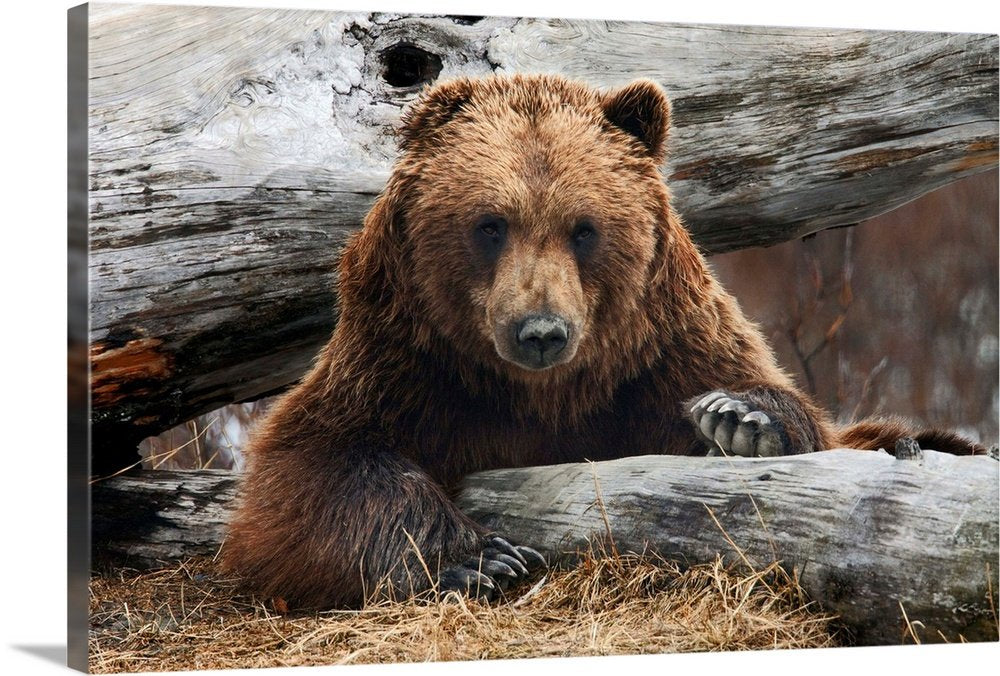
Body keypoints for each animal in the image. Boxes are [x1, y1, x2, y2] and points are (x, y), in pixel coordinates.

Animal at [221, 74, 983, 609]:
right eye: (490, 224)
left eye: (583, 228)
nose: (540, 331)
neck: (542, 395)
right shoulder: (406, 364)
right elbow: (309, 471)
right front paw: (481, 559)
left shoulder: (660, 355)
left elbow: (787, 413)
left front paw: (740, 419)